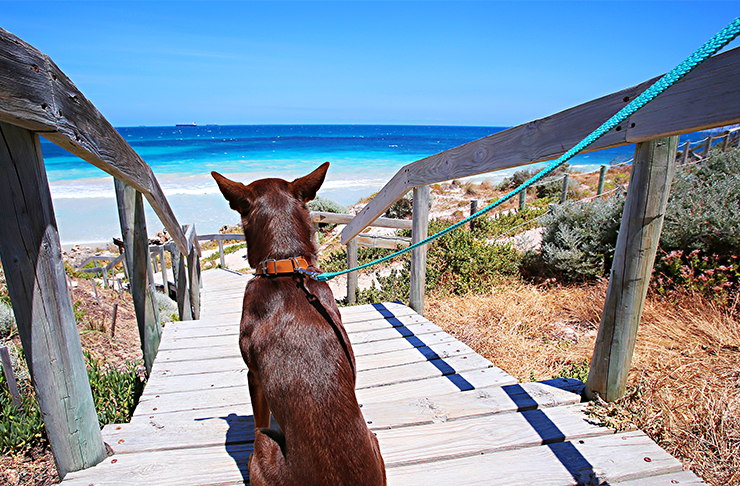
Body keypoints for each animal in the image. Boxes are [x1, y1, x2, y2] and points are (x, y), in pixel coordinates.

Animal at [211, 163, 388, 486]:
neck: (284, 264)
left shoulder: (253, 376)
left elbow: (258, 416)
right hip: (374, 438)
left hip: (265, 445)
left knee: (260, 436)